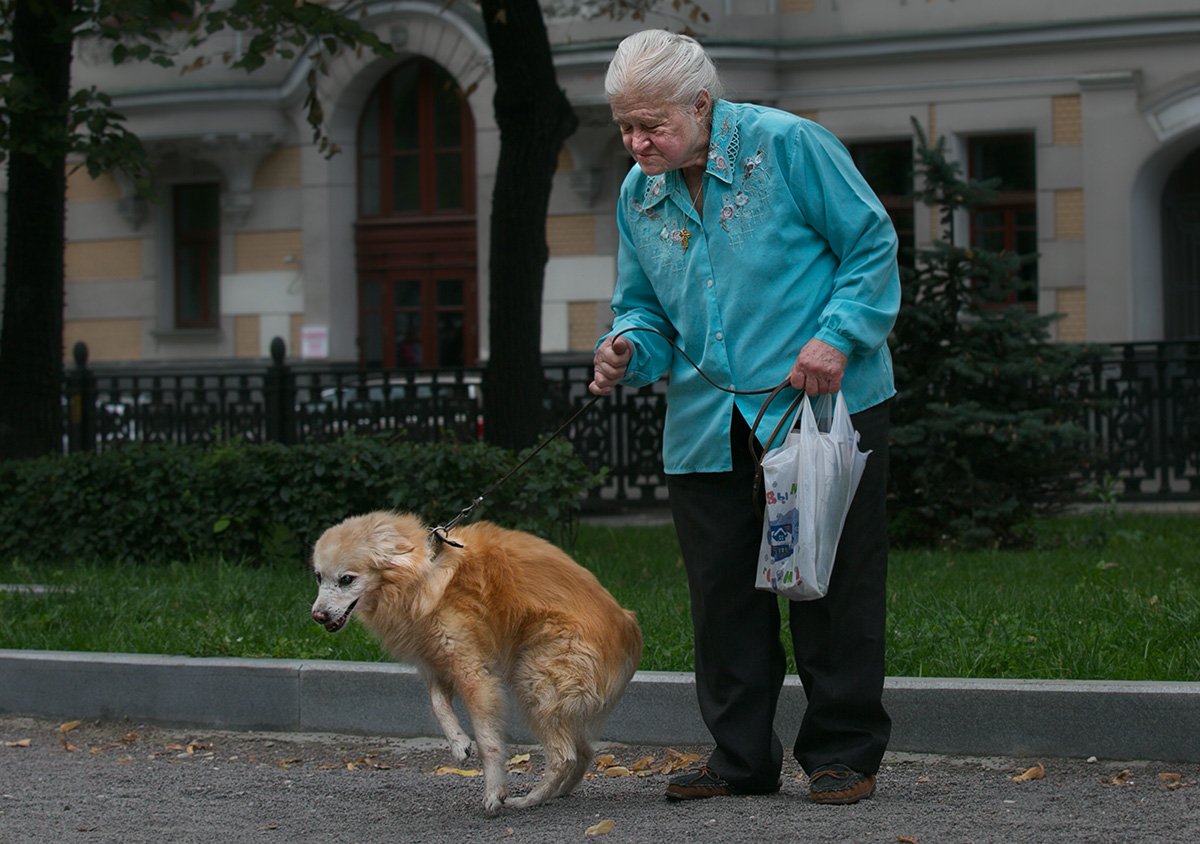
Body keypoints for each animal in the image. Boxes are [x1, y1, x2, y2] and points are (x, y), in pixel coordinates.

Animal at [314, 511, 643, 816]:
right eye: (318, 577)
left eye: (347, 579)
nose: (317, 616)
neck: (420, 575)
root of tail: (629, 628)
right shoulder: (437, 665)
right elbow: (438, 705)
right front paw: (459, 744)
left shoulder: (473, 674)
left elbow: (488, 742)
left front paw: (494, 792)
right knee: (584, 751)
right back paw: (558, 792)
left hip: (535, 684)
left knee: (565, 756)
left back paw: (530, 800)